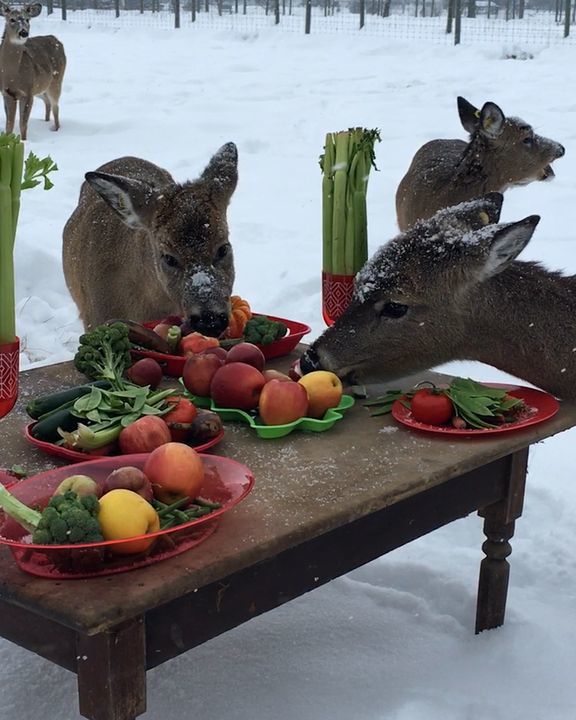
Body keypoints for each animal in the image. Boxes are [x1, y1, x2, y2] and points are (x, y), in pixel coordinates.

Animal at [0, 2, 66, 141]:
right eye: (11, 19)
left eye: (27, 19)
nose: (24, 32)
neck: (12, 75)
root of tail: (56, 39)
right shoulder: (6, 93)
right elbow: (9, 123)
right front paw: (8, 139)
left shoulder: (27, 92)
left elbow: (23, 123)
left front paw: (23, 140)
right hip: (40, 88)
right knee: (47, 102)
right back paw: (45, 121)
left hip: (56, 81)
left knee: (55, 106)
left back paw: (55, 129)